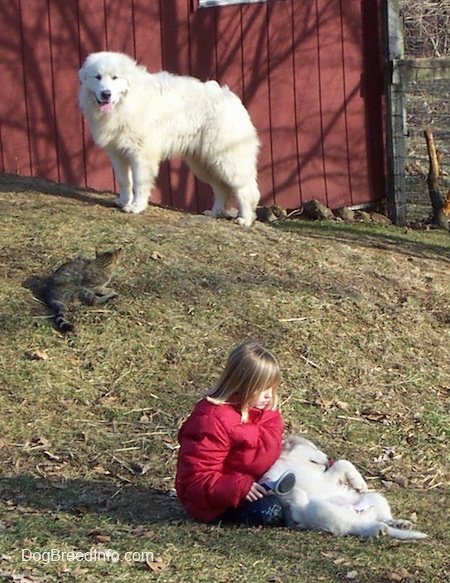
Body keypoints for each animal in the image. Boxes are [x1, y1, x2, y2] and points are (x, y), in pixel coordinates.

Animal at [78, 50, 260, 226]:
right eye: (97, 77)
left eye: (115, 77)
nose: (106, 94)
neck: (127, 102)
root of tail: (233, 99)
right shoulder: (117, 153)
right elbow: (124, 181)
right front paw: (123, 201)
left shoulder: (141, 154)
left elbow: (139, 181)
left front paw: (136, 206)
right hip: (204, 163)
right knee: (221, 188)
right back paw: (215, 212)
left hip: (227, 159)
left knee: (245, 190)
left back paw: (245, 219)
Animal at [262, 436, 428, 540]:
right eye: (314, 448)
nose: (328, 458)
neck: (299, 465)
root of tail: (360, 514)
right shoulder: (274, 480)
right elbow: (291, 488)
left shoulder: (326, 479)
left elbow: (342, 463)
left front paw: (359, 483)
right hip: (322, 509)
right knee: (356, 527)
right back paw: (378, 529)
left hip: (375, 498)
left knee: (382, 518)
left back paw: (399, 523)